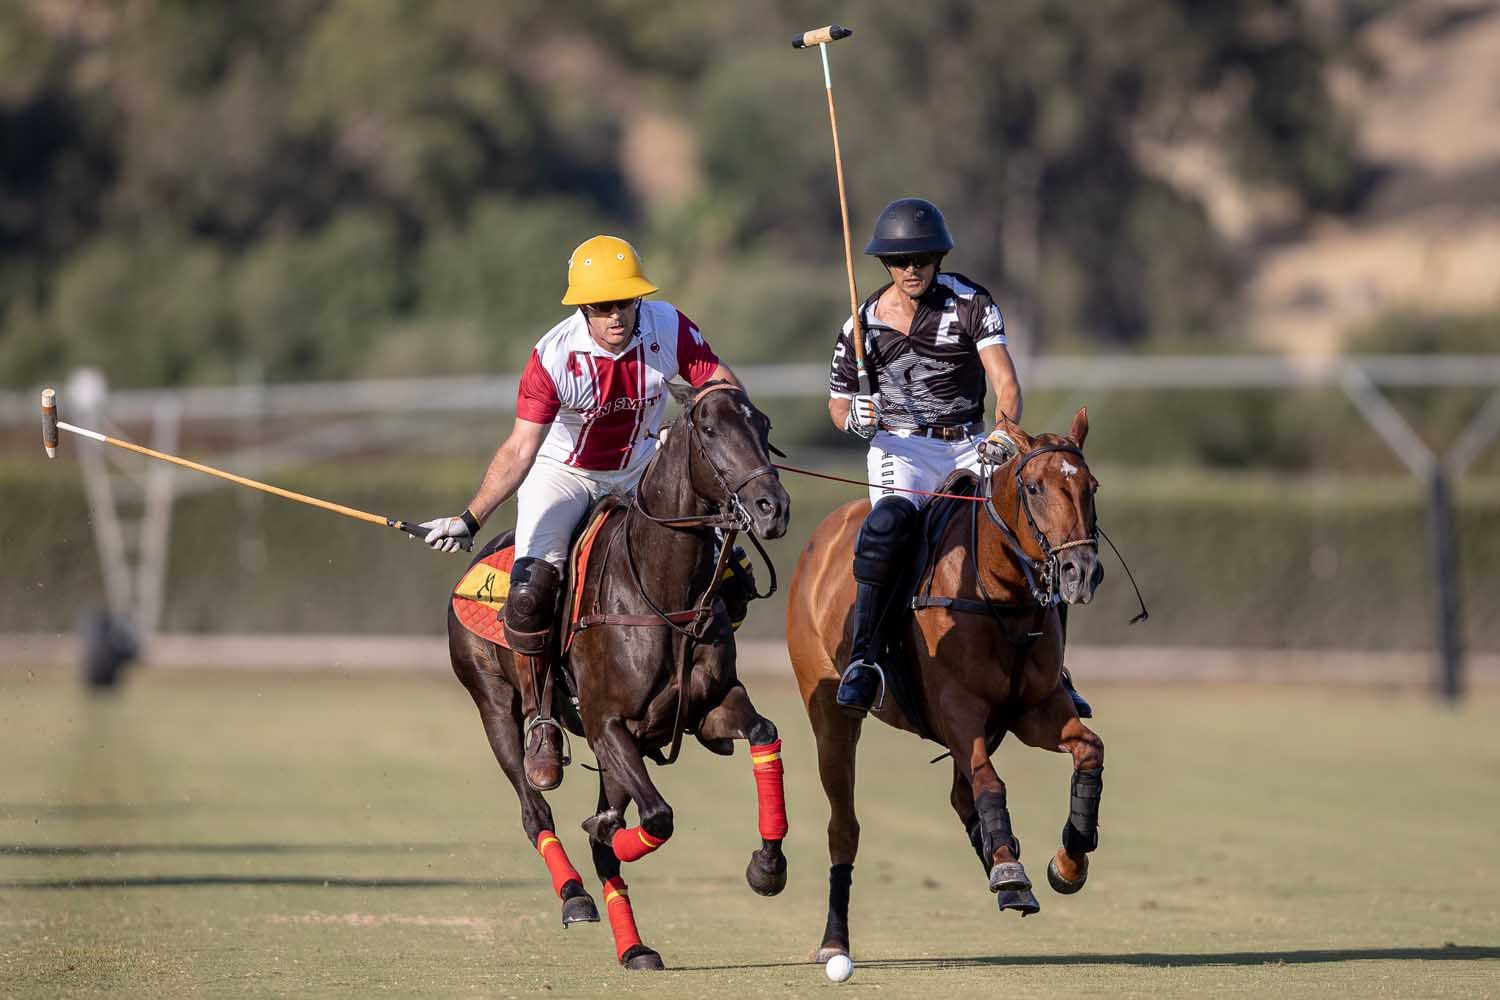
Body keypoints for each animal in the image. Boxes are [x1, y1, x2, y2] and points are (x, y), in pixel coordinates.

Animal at [447, 380, 792, 971]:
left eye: (765, 425)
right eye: (709, 429)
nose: (773, 508)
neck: (664, 593)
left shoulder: (711, 706)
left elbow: (763, 733)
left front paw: (766, 869)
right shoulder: (608, 723)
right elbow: (657, 817)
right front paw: (609, 832)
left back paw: (634, 947)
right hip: (494, 705)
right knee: (535, 809)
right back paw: (575, 893)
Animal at [792, 407, 1110, 959]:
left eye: (1089, 486)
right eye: (1033, 487)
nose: (1080, 572)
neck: (1000, 594)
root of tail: (822, 535)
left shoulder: (1035, 708)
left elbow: (1089, 751)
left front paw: (1066, 863)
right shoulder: (957, 706)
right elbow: (990, 781)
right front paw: (1010, 869)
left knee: (962, 796)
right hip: (830, 714)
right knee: (843, 825)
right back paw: (834, 942)